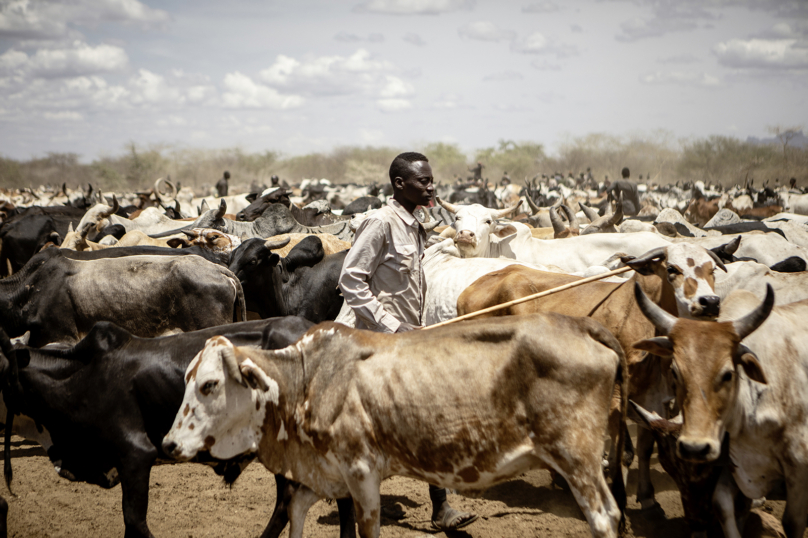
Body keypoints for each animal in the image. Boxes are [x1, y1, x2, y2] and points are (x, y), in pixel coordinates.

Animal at [166, 314, 632, 536]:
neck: (308, 378)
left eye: (209, 384)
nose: (168, 444)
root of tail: (583, 324)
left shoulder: (361, 473)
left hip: (576, 458)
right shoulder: (325, 474)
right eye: (187, 379)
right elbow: (294, 512)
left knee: (604, 517)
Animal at [632, 280, 808, 536]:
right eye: (674, 371)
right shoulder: (735, 466)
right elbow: (722, 504)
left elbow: (792, 523)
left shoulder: (799, 471)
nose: (694, 448)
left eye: (728, 374)